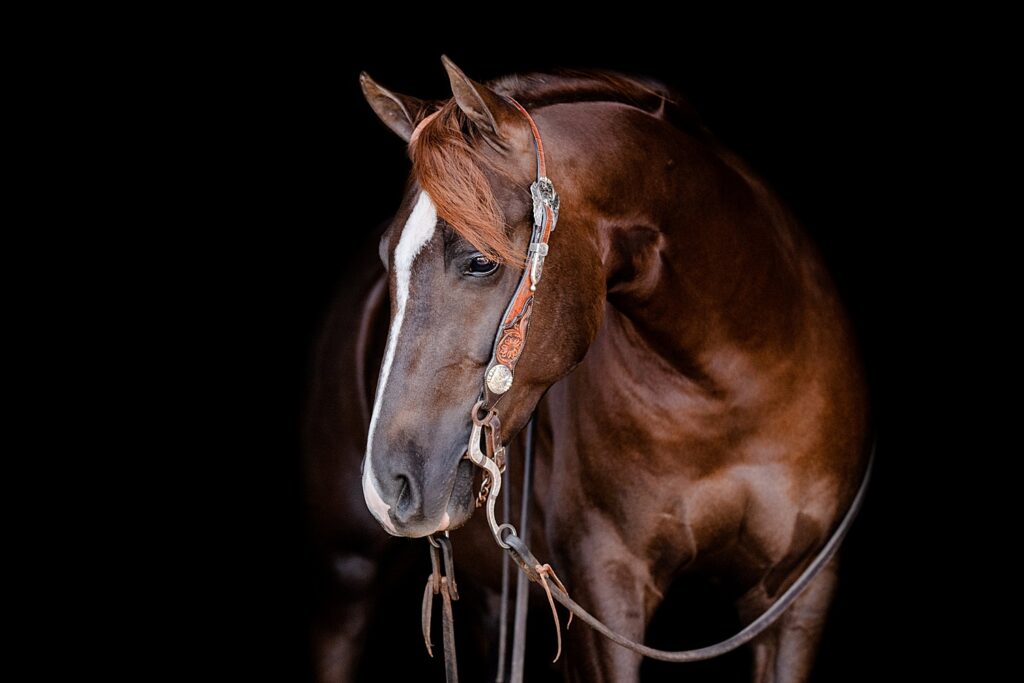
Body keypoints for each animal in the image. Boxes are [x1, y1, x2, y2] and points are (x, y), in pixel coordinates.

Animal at [307, 61, 868, 679]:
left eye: (480, 261)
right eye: (388, 258)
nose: (387, 486)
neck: (731, 389)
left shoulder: (796, 598)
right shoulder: (606, 588)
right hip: (346, 577)